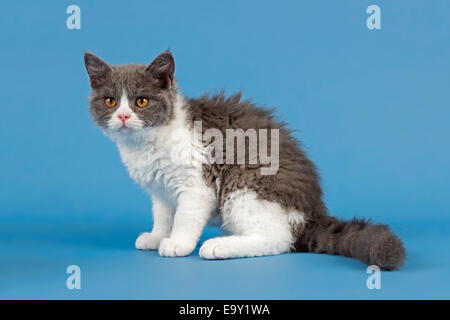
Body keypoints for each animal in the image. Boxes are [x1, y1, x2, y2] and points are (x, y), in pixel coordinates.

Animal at [82, 50, 406, 270]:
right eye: (110, 101)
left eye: (141, 101)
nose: (124, 117)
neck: (147, 143)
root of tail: (312, 213)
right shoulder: (159, 189)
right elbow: (162, 213)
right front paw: (156, 236)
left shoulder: (198, 183)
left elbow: (185, 216)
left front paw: (177, 243)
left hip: (244, 189)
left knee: (278, 239)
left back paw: (218, 246)